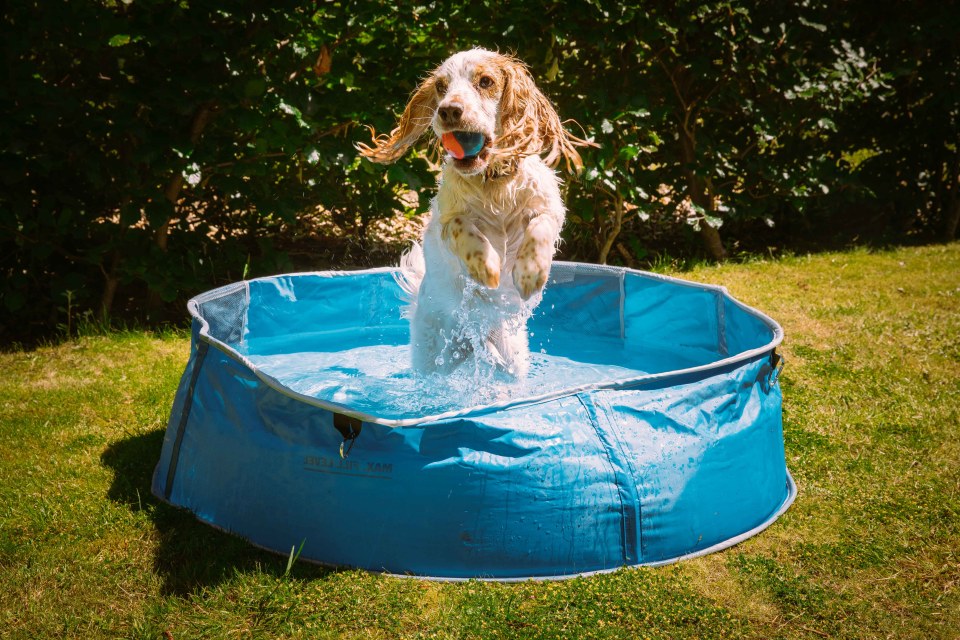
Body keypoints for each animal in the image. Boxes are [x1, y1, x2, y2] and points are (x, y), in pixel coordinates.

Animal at [356, 50, 588, 380]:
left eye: (486, 81)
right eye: (441, 86)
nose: (449, 110)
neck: (493, 182)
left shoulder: (550, 207)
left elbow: (539, 228)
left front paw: (530, 272)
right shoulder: (445, 220)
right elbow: (463, 228)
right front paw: (487, 267)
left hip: (512, 360)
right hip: (431, 358)